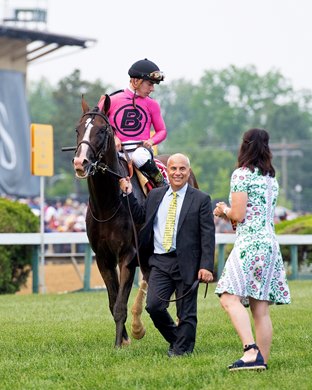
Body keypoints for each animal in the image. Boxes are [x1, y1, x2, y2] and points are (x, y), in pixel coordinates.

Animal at [70, 96, 197, 348]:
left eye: (102, 130)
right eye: (78, 129)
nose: (81, 162)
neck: (108, 205)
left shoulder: (127, 255)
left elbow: (120, 304)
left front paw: (119, 344)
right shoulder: (103, 258)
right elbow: (113, 301)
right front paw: (126, 338)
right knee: (149, 280)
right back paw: (139, 326)